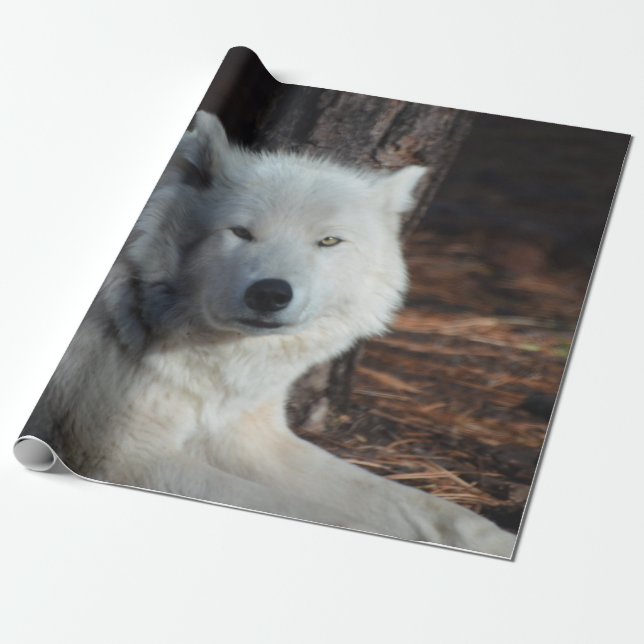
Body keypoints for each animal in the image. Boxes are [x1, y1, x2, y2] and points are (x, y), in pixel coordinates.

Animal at [24, 111, 515, 556]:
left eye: (329, 242)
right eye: (241, 232)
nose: (269, 294)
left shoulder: (252, 438)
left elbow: (430, 509)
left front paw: (498, 540)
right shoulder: (118, 457)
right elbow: (323, 514)